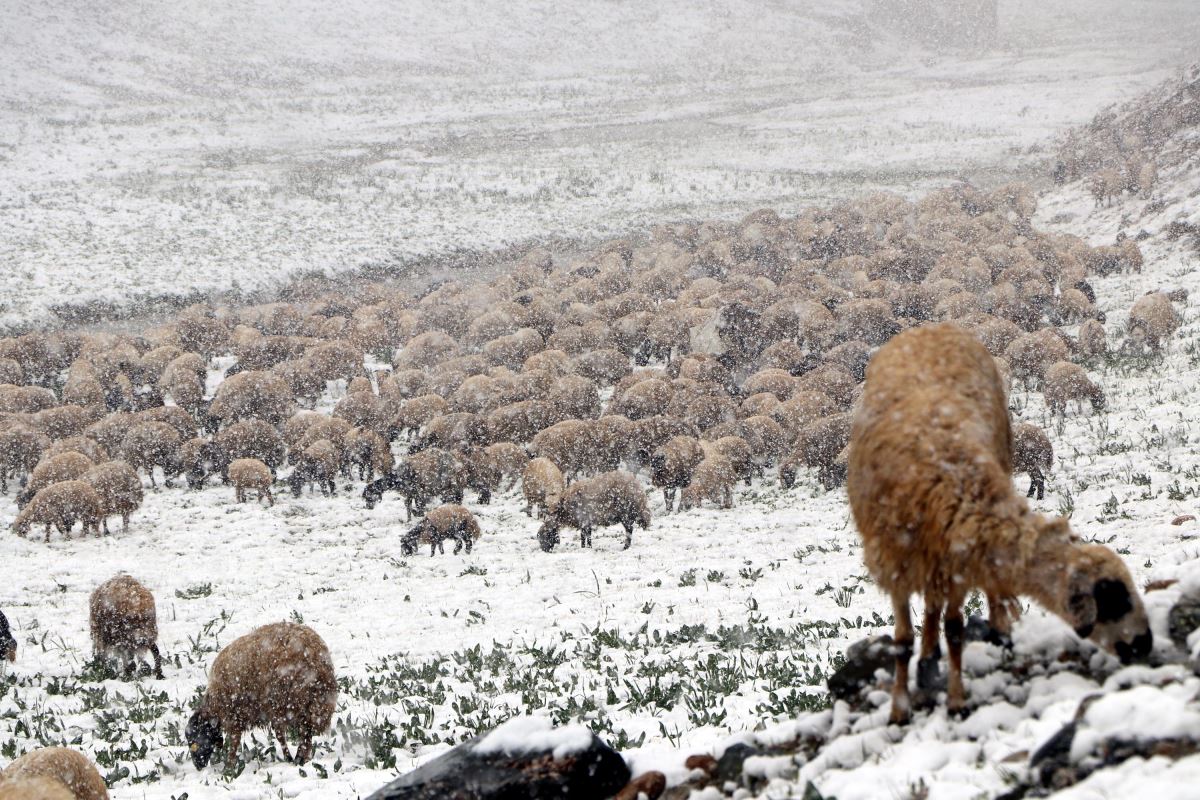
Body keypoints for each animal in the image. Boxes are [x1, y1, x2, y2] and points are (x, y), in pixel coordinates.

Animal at [187, 623, 338, 767]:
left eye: (193, 741)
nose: (198, 766)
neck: (214, 705)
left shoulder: (236, 714)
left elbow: (236, 741)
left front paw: (229, 767)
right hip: (313, 701)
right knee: (307, 730)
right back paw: (301, 758)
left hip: (291, 698)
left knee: (304, 731)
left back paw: (299, 759)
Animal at [844, 321, 1152, 724]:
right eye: (1115, 596)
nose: (1146, 646)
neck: (950, 478)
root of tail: (935, 326)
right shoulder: (896, 563)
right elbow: (901, 641)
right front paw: (899, 708)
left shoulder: (957, 556)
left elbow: (954, 629)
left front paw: (956, 700)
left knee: (942, 605)